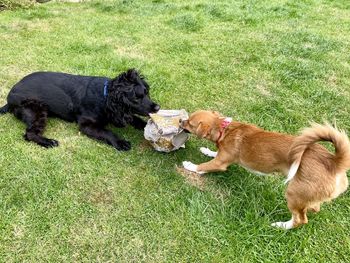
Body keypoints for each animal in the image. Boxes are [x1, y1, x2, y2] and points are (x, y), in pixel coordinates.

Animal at [0, 68, 160, 151]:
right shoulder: (86, 124)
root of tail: (9, 95)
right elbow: (107, 131)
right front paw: (120, 142)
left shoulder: (119, 113)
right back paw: (48, 142)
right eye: (136, 98)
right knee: (30, 133)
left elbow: (135, 119)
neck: (105, 95)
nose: (157, 108)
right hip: (37, 109)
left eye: (146, 93)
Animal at [182, 110, 348, 230]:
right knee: (313, 207)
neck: (224, 128)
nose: (180, 121)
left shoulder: (220, 163)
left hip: (293, 193)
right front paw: (206, 150)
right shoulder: (221, 156)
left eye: (189, 123)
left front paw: (190, 165)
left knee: (300, 219)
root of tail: (334, 162)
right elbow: (213, 154)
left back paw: (281, 226)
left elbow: (204, 166)